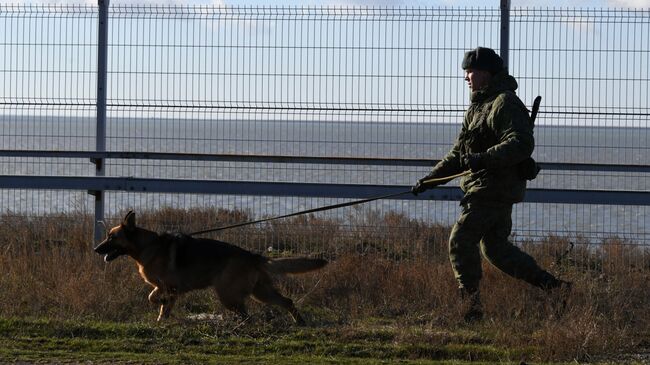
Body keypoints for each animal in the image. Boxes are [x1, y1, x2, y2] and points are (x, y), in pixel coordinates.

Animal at [93, 209, 326, 322]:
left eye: (112, 238)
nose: (96, 249)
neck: (147, 246)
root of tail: (253, 255)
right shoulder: (168, 288)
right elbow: (162, 305)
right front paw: (161, 321)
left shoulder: (170, 286)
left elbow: (154, 298)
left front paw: (160, 306)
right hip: (260, 292)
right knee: (286, 301)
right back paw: (300, 323)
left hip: (228, 294)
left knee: (247, 315)